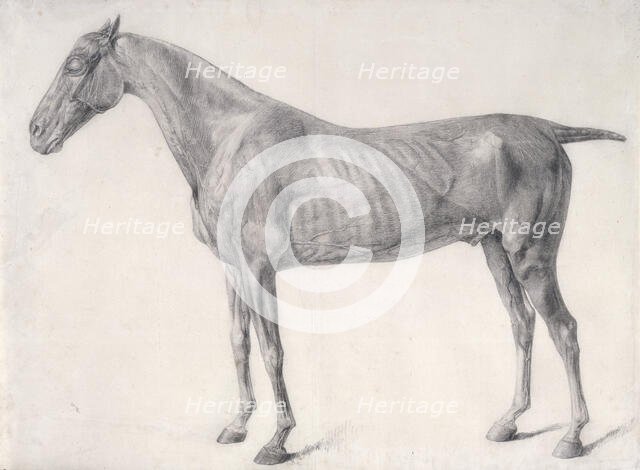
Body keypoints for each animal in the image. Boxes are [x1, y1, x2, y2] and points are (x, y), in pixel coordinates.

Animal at [29, 16, 626, 464]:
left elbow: (273, 350)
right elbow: (239, 343)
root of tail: (548, 128)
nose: (35, 133)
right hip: (495, 249)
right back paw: (507, 423)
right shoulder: (232, 269)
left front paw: (275, 441)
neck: (229, 138)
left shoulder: (260, 268)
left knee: (564, 329)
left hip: (532, 254)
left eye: (76, 64)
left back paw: (573, 436)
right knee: (522, 325)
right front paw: (236, 427)